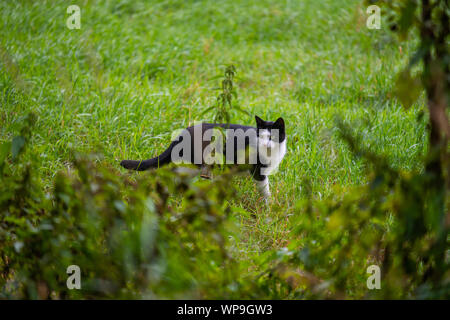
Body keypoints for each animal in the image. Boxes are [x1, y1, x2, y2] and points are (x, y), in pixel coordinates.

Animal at [121, 115, 286, 200]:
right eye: (261, 137)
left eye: (271, 137)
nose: (265, 144)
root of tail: (184, 132)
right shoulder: (258, 172)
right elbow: (265, 189)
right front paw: (268, 207)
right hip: (195, 163)